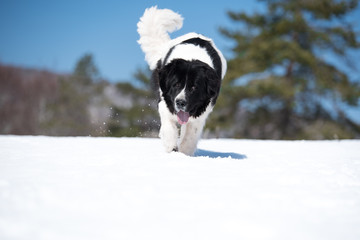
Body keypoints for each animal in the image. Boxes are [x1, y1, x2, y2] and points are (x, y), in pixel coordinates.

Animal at [136, 6, 226, 156]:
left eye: (194, 87)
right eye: (176, 84)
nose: (180, 102)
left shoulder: (202, 112)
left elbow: (190, 134)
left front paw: (184, 153)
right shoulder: (165, 100)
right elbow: (169, 126)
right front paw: (170, 146)